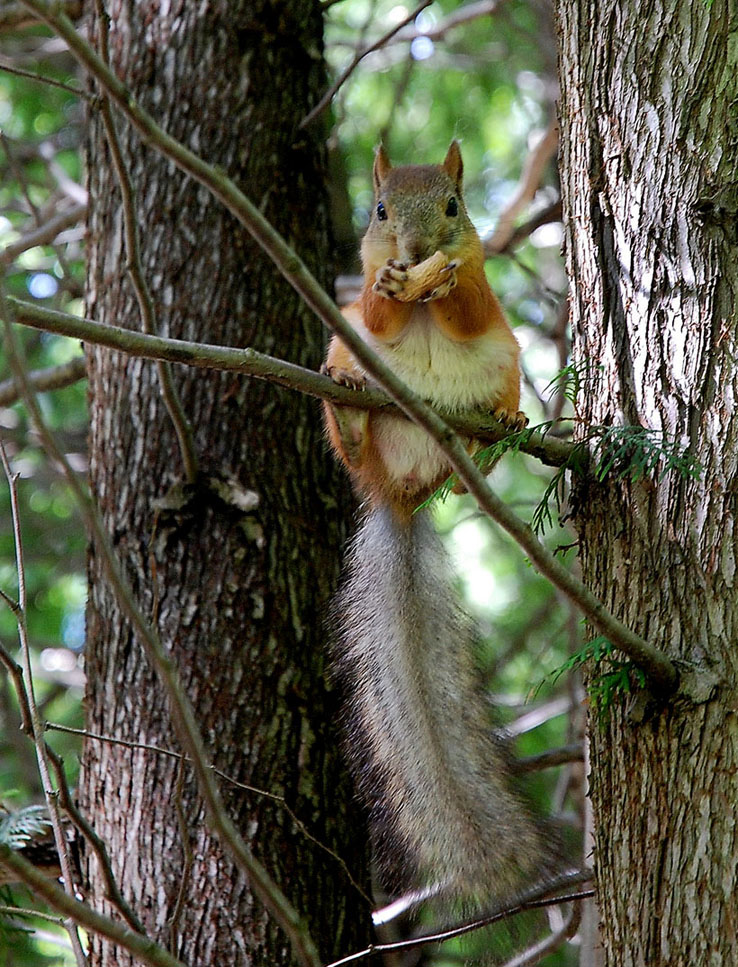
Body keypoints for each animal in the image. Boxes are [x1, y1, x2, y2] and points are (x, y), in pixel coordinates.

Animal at [322, 144, 548, 924]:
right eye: (379, 210)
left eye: (454, 206)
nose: (419, 251)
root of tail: (402, 496)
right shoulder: (359, 308)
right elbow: (377, 312)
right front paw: (394, 284)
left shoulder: (484, 295)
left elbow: (469, 306)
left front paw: (442, 282)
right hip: (342, 352)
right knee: (351, 423)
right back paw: (350, 414)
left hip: (506, 362)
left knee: (489, 414)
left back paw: (497, 433)